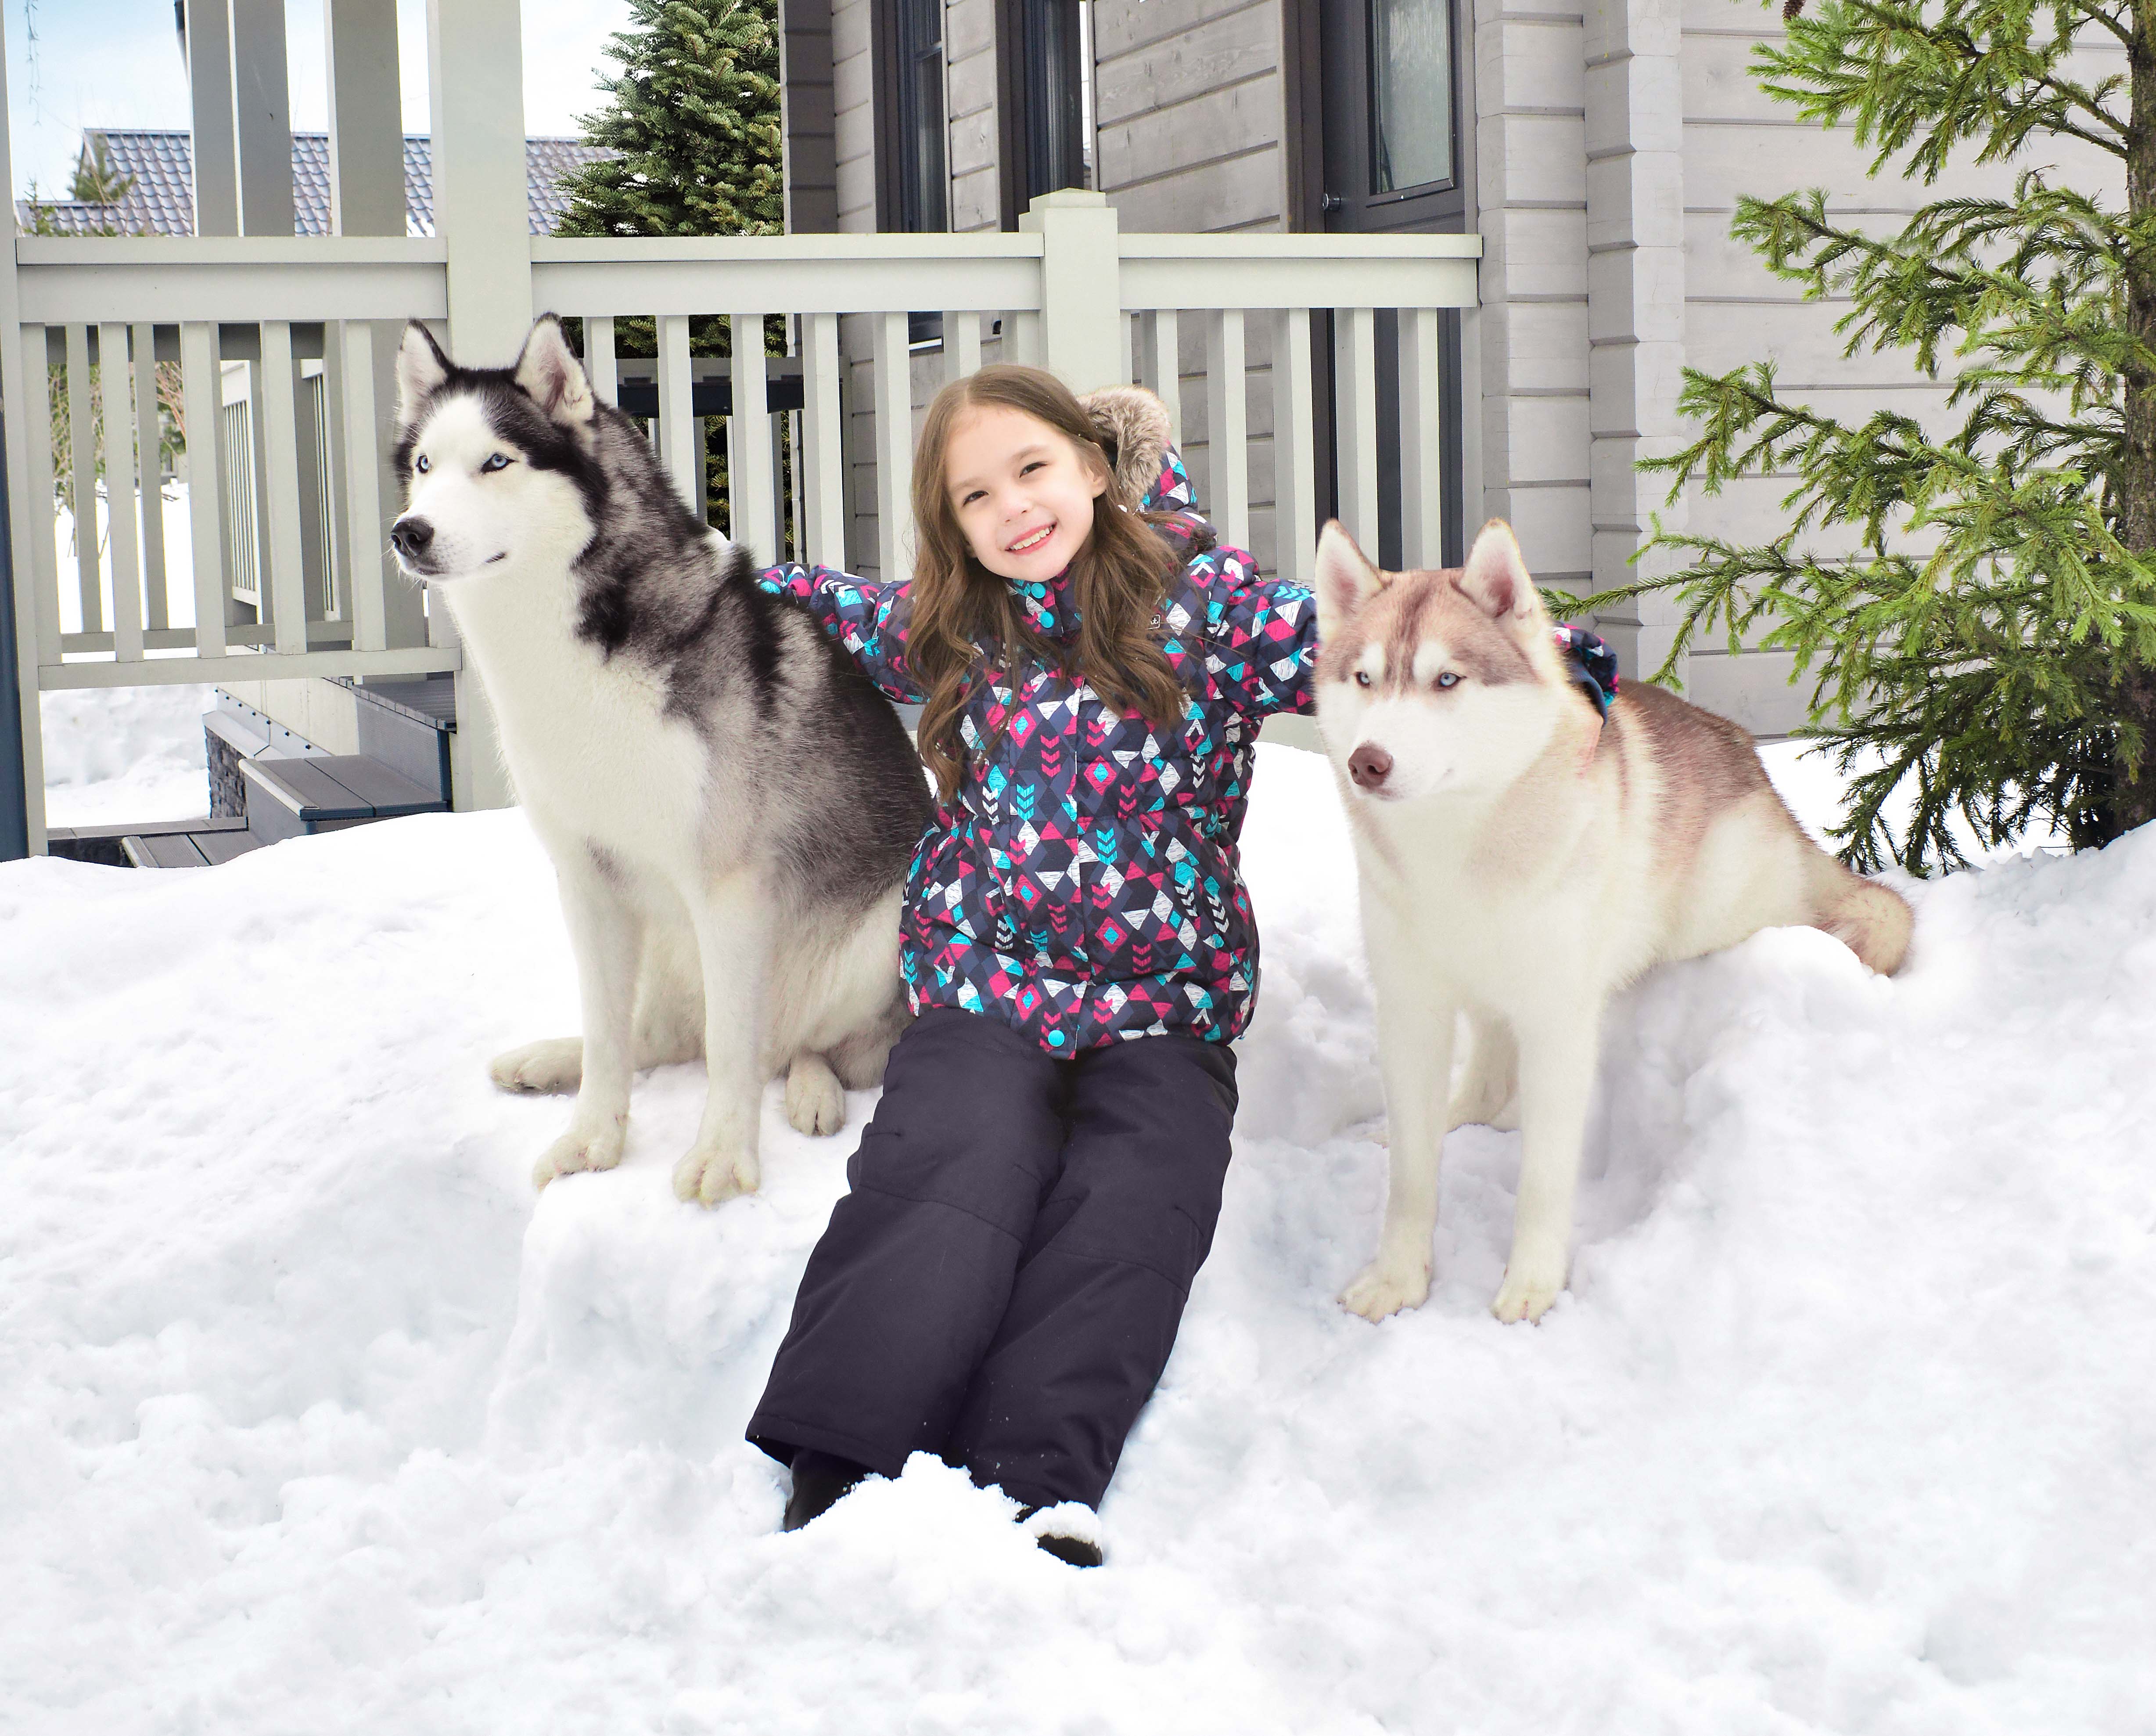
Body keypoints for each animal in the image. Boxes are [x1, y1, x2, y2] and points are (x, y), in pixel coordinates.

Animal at [390, 316, 933, 1204]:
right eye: (425, 467)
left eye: (497, 462)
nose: (410, 531)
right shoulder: (586, 880)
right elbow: (613, 1037)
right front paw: (592, 1139)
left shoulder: (732, 890)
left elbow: (731, 1049)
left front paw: (723, 1154)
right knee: (659, 1036)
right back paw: (549, 1060)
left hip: (885, 925)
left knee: (808, 1047)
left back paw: (811, 1089)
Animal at [1312, 518, 1912, 1323]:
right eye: (1365, 678)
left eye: (1447, 680)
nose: (1367, 762)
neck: (1458, 844)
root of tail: (1757, 767)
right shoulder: (1411, 1010)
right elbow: (1410, 1178)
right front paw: (1398, 1278)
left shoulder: (1558, 1019)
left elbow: (1542, 1179)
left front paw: (1533, 1284)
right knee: (1485, 1076)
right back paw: (1458, 1109)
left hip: (1716, 911)